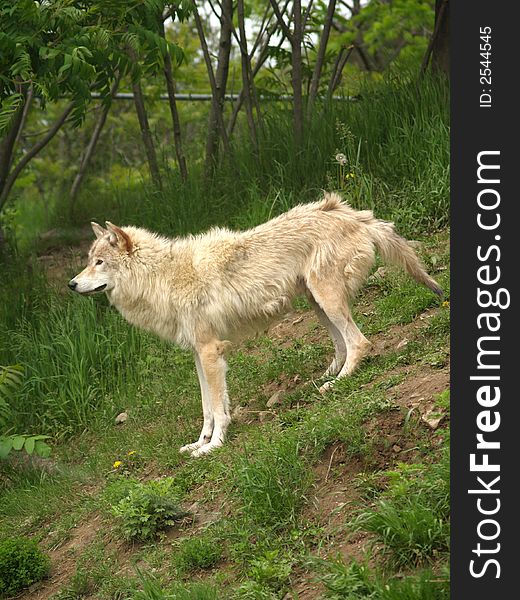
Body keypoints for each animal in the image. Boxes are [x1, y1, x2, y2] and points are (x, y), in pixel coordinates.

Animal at [70, 192, 442, 454]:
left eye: (99, 262)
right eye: (89, 261)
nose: (71, 285)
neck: (163, 278)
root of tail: (351, 213)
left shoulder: (211, 351)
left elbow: (218, 410)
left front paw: (214, 447)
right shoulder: (198, 355)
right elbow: (207, 408)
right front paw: (199, 443)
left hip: (327, 300)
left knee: (360, 342)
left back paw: (337, 384)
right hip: (318, 303)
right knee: (342, 345)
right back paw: (324, 379)